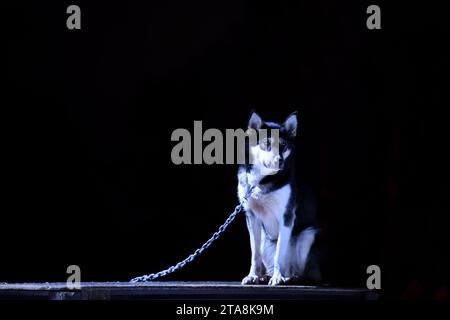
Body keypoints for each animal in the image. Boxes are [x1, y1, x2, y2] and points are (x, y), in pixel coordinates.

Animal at [239, 112, 320, 284]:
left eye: (283, 145)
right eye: (266, 143)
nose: (280, 161)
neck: (263, 180)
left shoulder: (286, 216)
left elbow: (279, 254)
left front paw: (277, 277)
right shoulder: (251, 216)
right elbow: (255, 254)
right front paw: (253, 275)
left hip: (308, 235)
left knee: (298, 269)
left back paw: (291, 277)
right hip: (265, 239)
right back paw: (264, 276)